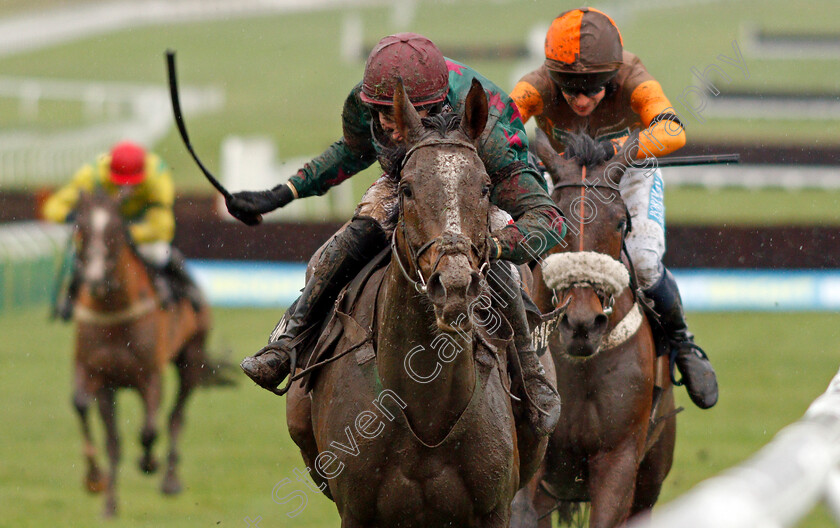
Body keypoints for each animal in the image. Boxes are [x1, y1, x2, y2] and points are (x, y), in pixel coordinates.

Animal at [70, 189, 213, 516]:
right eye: (82, 227)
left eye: (114, 231)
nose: (94, 279)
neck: (113, 310)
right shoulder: (97, 374)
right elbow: (91, 416)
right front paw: (98, 485)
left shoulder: (150, 375)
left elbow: (149, 430)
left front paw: (148, 462)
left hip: (192, 357)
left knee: (175, 416)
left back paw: (170, 479)